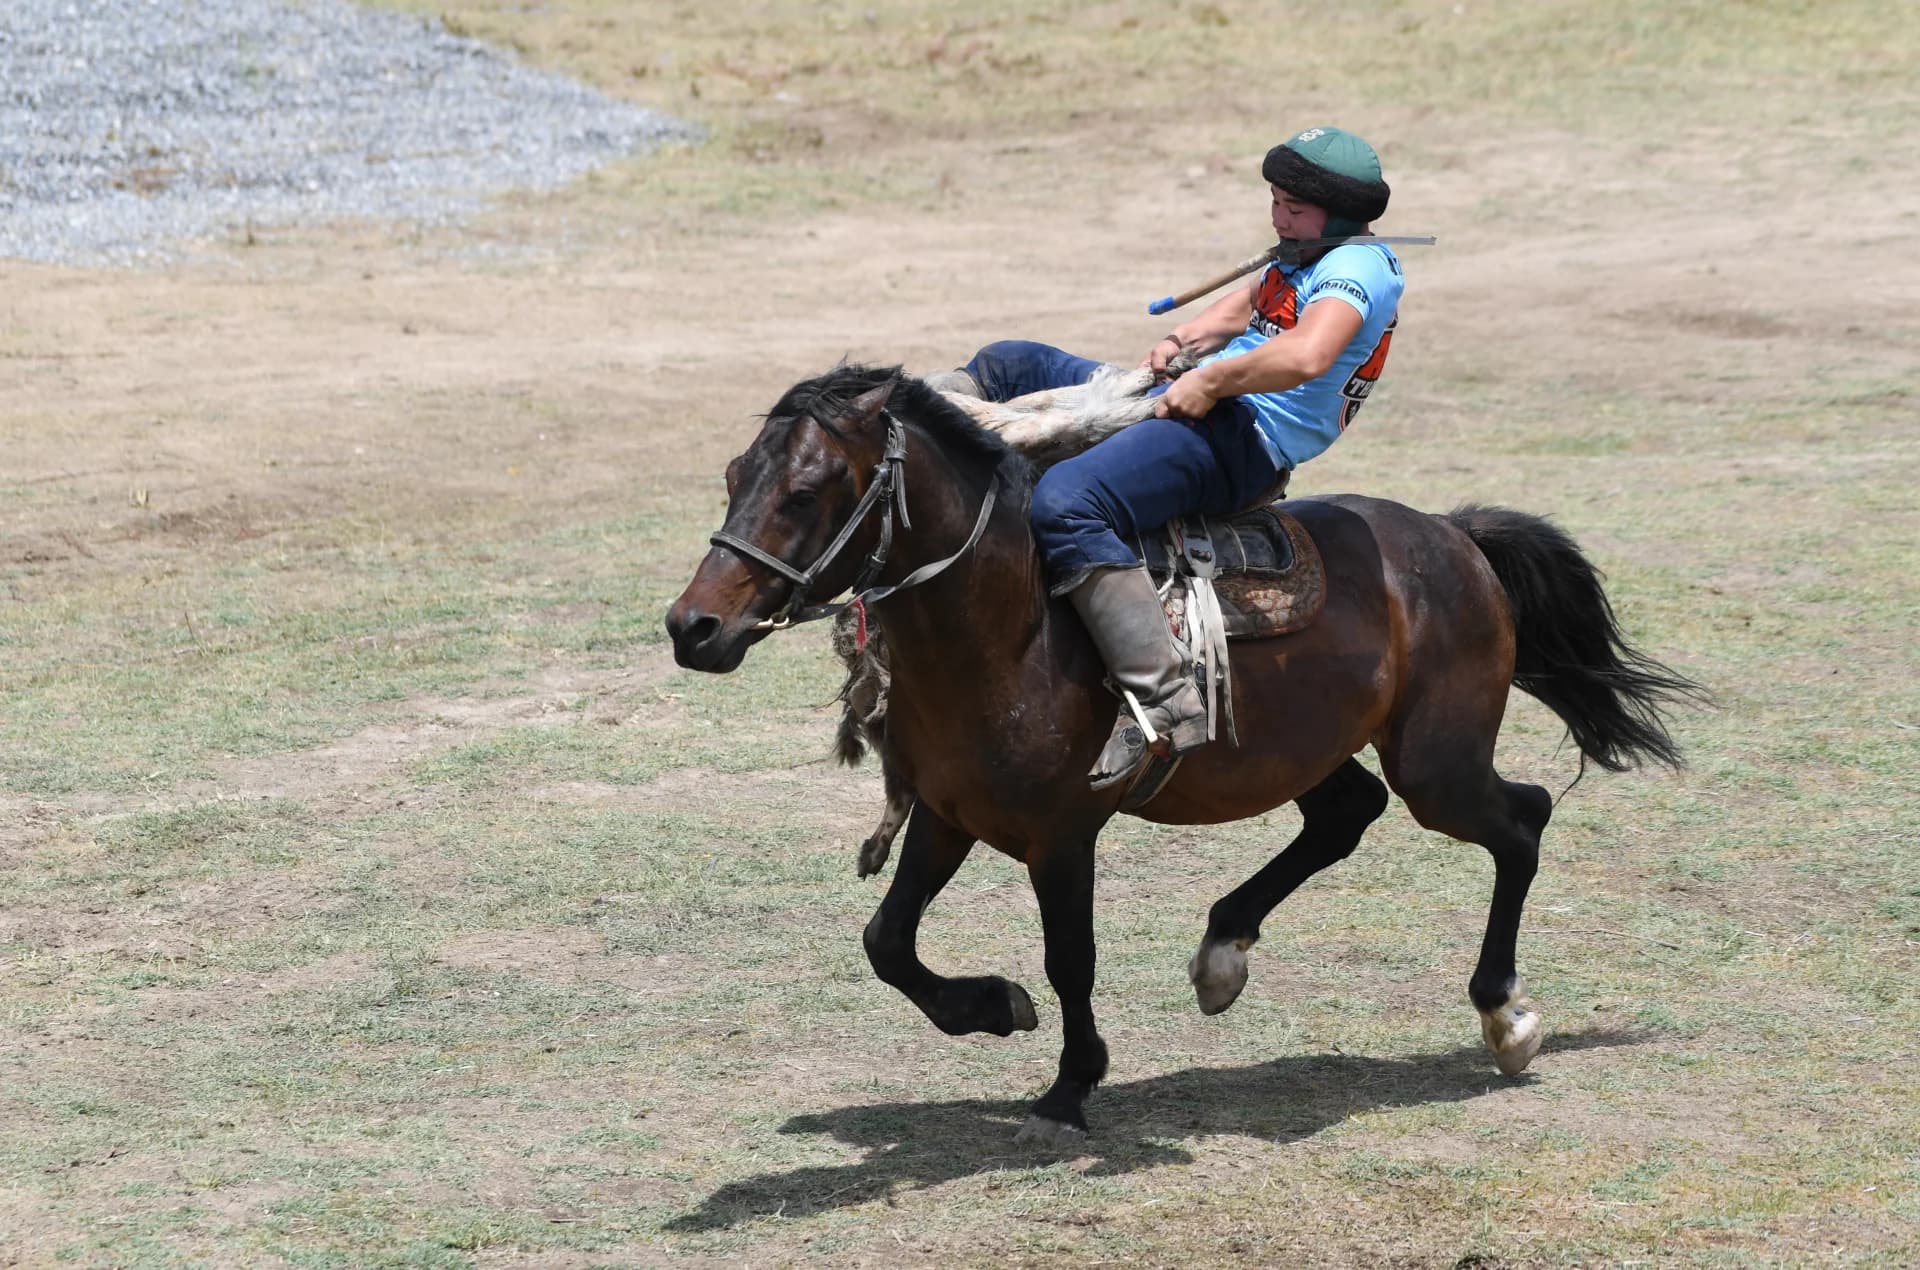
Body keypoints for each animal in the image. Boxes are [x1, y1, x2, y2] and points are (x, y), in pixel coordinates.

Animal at [665, 364, 1703, 1146]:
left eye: (804, 492)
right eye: (731, 474)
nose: (692, 627)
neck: (1011, 624)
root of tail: (1454, 536)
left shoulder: (1061, 835)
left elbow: (1070, 958)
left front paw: (1069, 1088)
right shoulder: (948, 815)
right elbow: (888, 943)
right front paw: (993, 1009)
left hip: (1437, 766)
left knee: (1521, 819)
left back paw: (1506, 1015)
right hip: (1313, 750)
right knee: (1348, 816)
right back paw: (1223, 951)